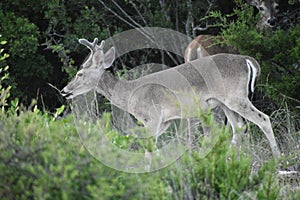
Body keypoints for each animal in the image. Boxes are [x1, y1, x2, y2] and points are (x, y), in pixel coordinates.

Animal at [61, 37, 282, 159]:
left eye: (80, 73)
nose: (64, 90)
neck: (130, 92)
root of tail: (246, 60)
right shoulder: (165, 121)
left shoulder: (152, 117)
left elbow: (148, 149)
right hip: (225, 102)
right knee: (239, 127)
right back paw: (228, 158)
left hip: (236, 97)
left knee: (263, 119)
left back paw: (278, 158)